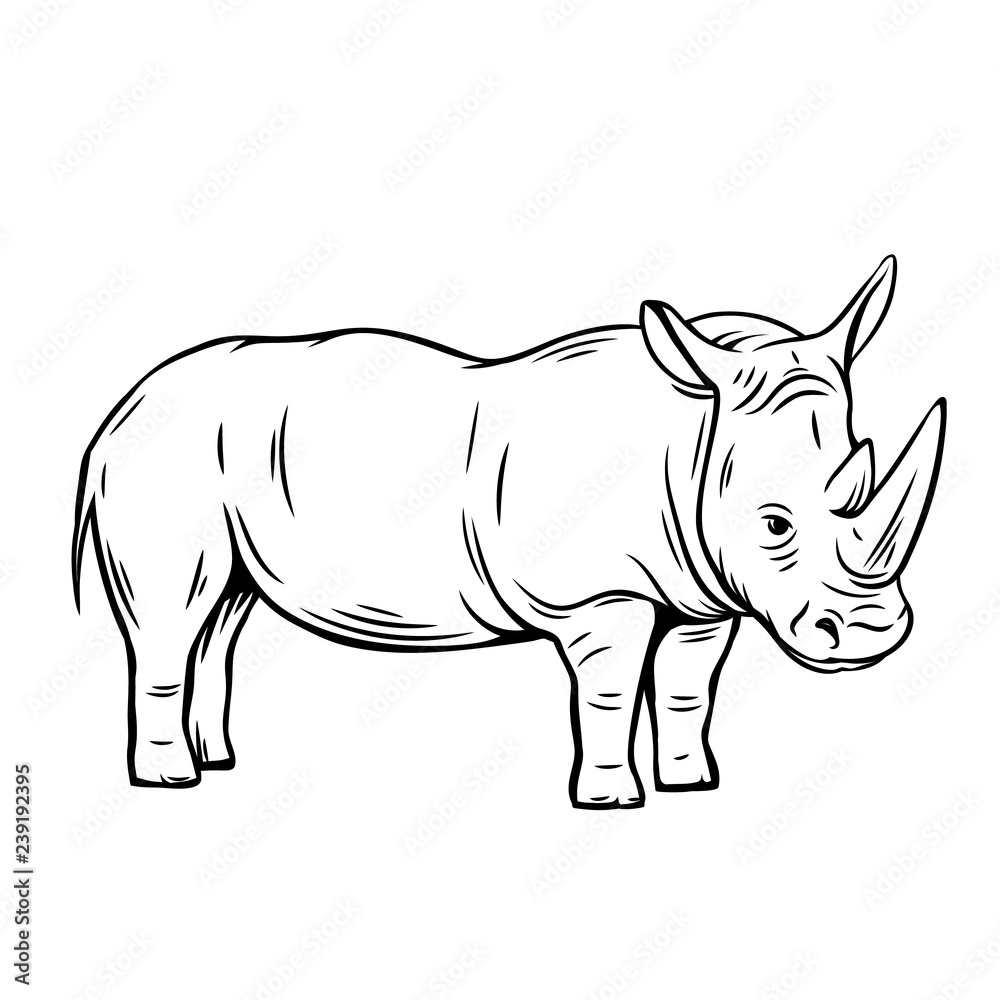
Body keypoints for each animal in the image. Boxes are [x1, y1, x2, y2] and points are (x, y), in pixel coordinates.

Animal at [72, 256, 945, 807]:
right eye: (774, 522)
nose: (870, 634)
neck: (693, 435)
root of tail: (124, 406)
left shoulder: (705, 593)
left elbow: (689, 690)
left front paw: (694, 783)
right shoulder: (599, 598)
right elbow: (608, 692)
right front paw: (612, 799)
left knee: (225, 612)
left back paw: (218, 760)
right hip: (166, 459)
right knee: (173, 616)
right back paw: (172, 782)